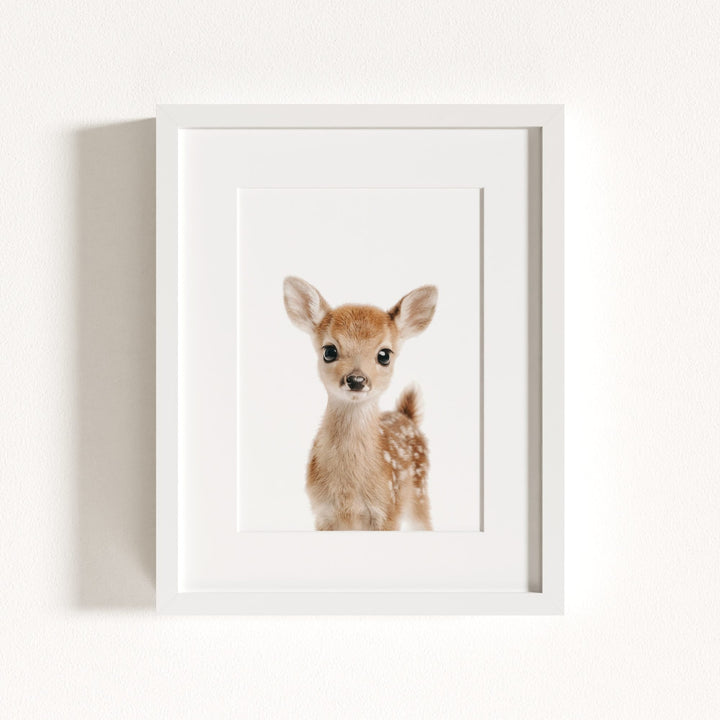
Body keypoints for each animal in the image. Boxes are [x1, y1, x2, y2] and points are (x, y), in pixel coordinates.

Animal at [283, 276, 438, 531]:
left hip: (419, 492)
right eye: (329, 351)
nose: (356, 380)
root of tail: (407, 415)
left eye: (384, 355)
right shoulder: (322, 514)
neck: (348, 494)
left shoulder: (388, 511)